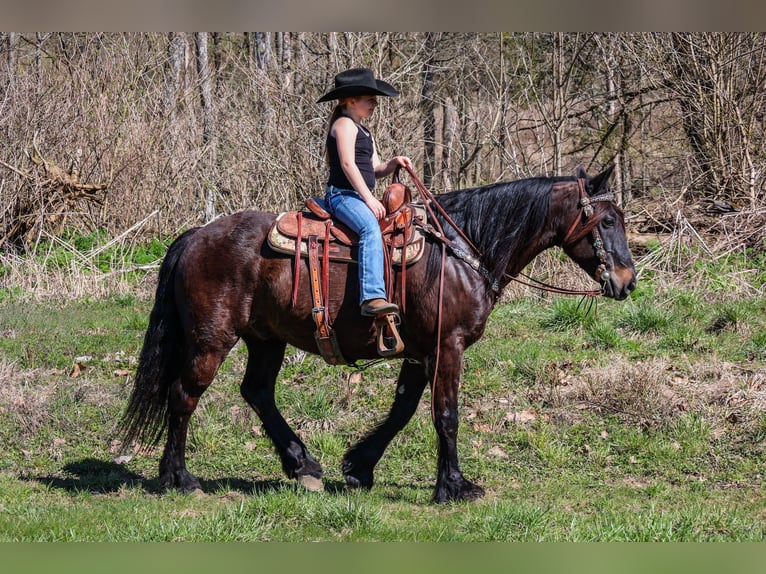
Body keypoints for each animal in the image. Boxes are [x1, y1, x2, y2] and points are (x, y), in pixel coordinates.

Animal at [120, 163, 636, 504]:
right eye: (608, 220)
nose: (628, 281)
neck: (462, 249)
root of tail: (196, 235)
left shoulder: (420, 352)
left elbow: (403, 410)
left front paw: (358, 467)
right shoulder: (447, 346)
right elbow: (445, 415)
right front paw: (454, 487)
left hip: (266, 338)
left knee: (257, 392)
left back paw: (302, 465)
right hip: (212, 340)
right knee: (184, 396)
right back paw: (179, 478)